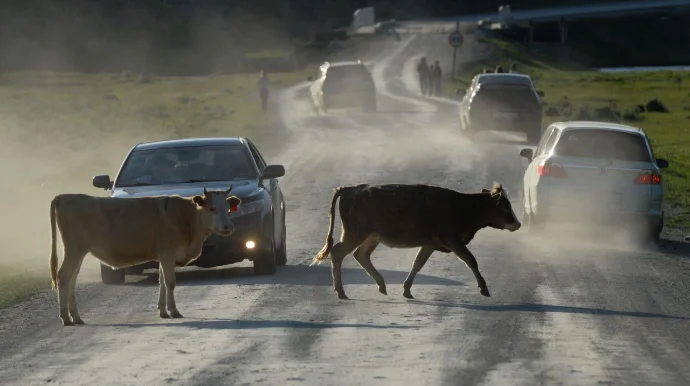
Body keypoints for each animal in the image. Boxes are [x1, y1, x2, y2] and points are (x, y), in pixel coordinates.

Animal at [49, 187, 242, 326]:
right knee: (63, 277)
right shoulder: (167, 253)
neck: (186, 217)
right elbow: (170, 282)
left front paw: (163, 311)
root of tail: (64, 197)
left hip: (78, 252)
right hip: (74, 250)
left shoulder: (163, 256)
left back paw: (76, 317)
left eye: (228, 208)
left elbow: (162, 282)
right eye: (212, 208)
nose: (228, 227)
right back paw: (65, 317)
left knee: (71, 279)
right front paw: (174, 310)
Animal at [310, 182, 520, 300]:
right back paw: (341, 291)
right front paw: (484, 288)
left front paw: (407, 289)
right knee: (338, 253)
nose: (517, 223)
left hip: (371, 236)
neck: (465, 206)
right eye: (505, 206)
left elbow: (417, 264)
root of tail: (351, 189)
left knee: (360, 255)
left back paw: (381, 284)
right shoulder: (453, 240)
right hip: (355, 234)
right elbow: (471, 260)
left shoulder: (429, 244)